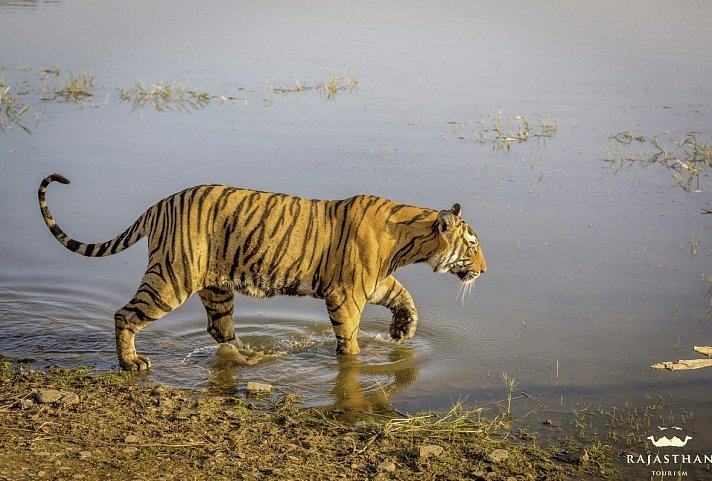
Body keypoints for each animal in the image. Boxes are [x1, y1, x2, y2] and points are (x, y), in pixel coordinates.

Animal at [38, 173, 487, 371]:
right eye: (472, 244)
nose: (484, 270)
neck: (408, 241)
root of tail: (160, 203)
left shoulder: (374, 283)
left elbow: (405, 298)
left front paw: (401, 332)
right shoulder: (347, 294)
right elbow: (350, 337)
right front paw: (358, 359)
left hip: (216, 287)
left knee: (220, 331)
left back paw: (253, 356)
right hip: (171, 278)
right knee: (125, 314)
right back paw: (131, 362)